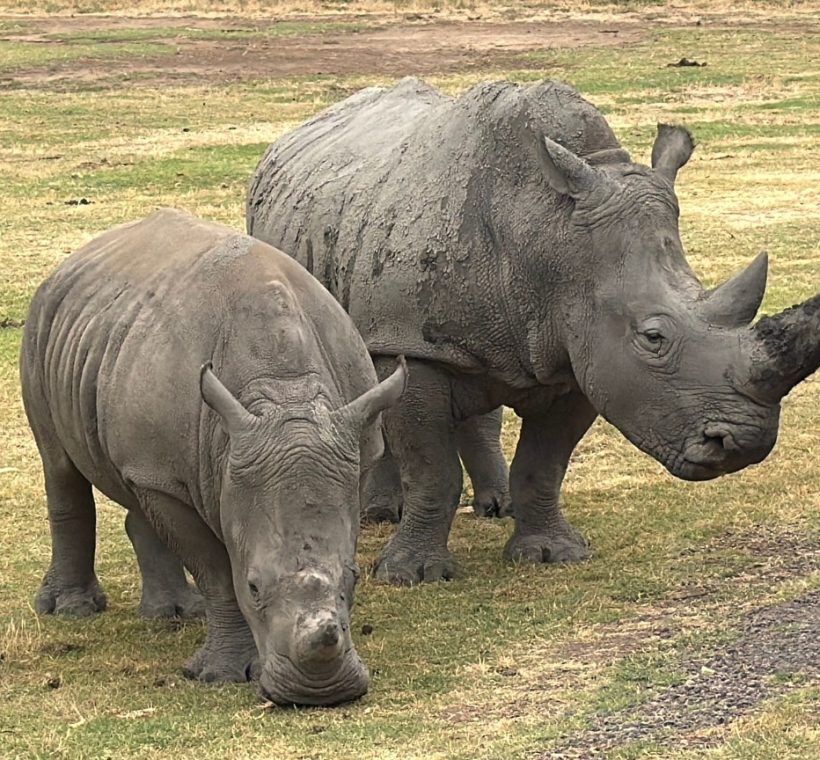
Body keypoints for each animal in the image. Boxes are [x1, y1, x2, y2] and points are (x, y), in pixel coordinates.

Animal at [20, 209, 406, 705]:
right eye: (254, 586)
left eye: (355, 579)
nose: (318, 693)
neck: (286, 396)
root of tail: (74, 260)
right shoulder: (173, 473)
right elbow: (217, 571)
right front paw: (221, 675)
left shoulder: (353, 448)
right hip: (43, 325)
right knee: (59, 465)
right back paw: (71, 611)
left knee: (137, 487)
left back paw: (176, 614)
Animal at [246, 78, 819, 586]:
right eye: (653, 337)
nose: (743, 445)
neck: (549, 235)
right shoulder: (411, 339)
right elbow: (430, 467)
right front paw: (411, 576)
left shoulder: (580, 350)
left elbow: (544, 464)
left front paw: (551, 554)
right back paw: (382, 515)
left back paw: (495, 506)